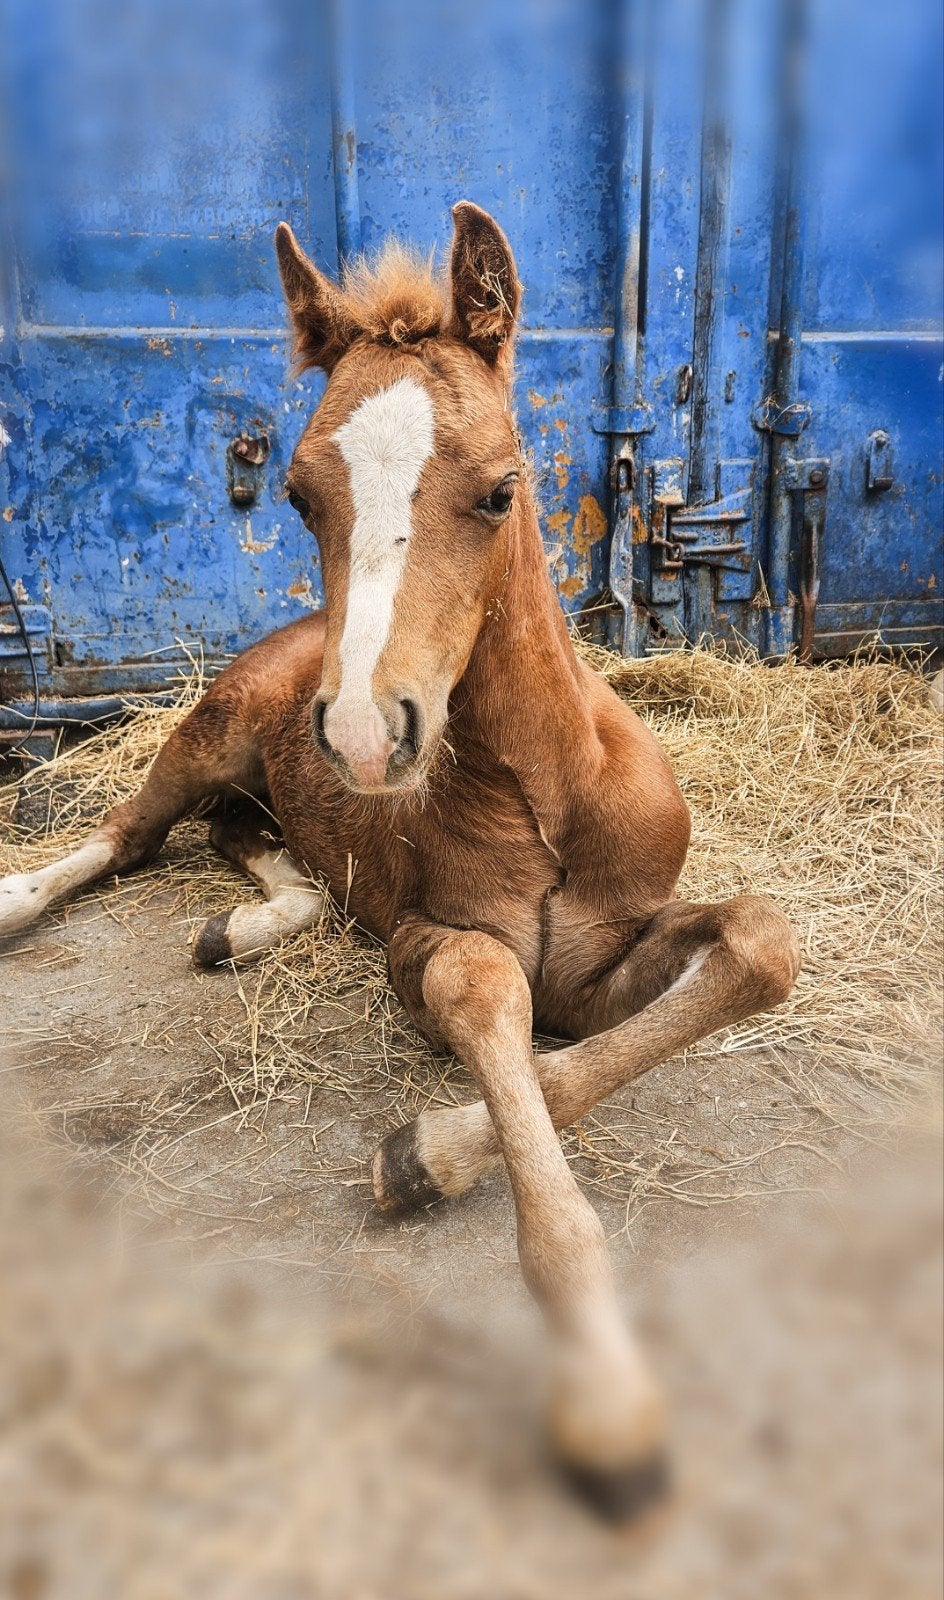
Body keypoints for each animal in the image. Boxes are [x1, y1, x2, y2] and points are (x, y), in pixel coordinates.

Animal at [0, 203, 800, 1517]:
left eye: (500, 489)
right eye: (295, 492)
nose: (367, 732)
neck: (547, 794)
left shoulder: (605, 964)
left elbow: (756, 943)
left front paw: (432, 1154)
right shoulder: (431, 942)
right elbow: (484, 990)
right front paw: (599, 1391)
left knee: (250, 845)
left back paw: (244, 925)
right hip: (206, 733)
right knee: (126, 834)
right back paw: (23, 897)